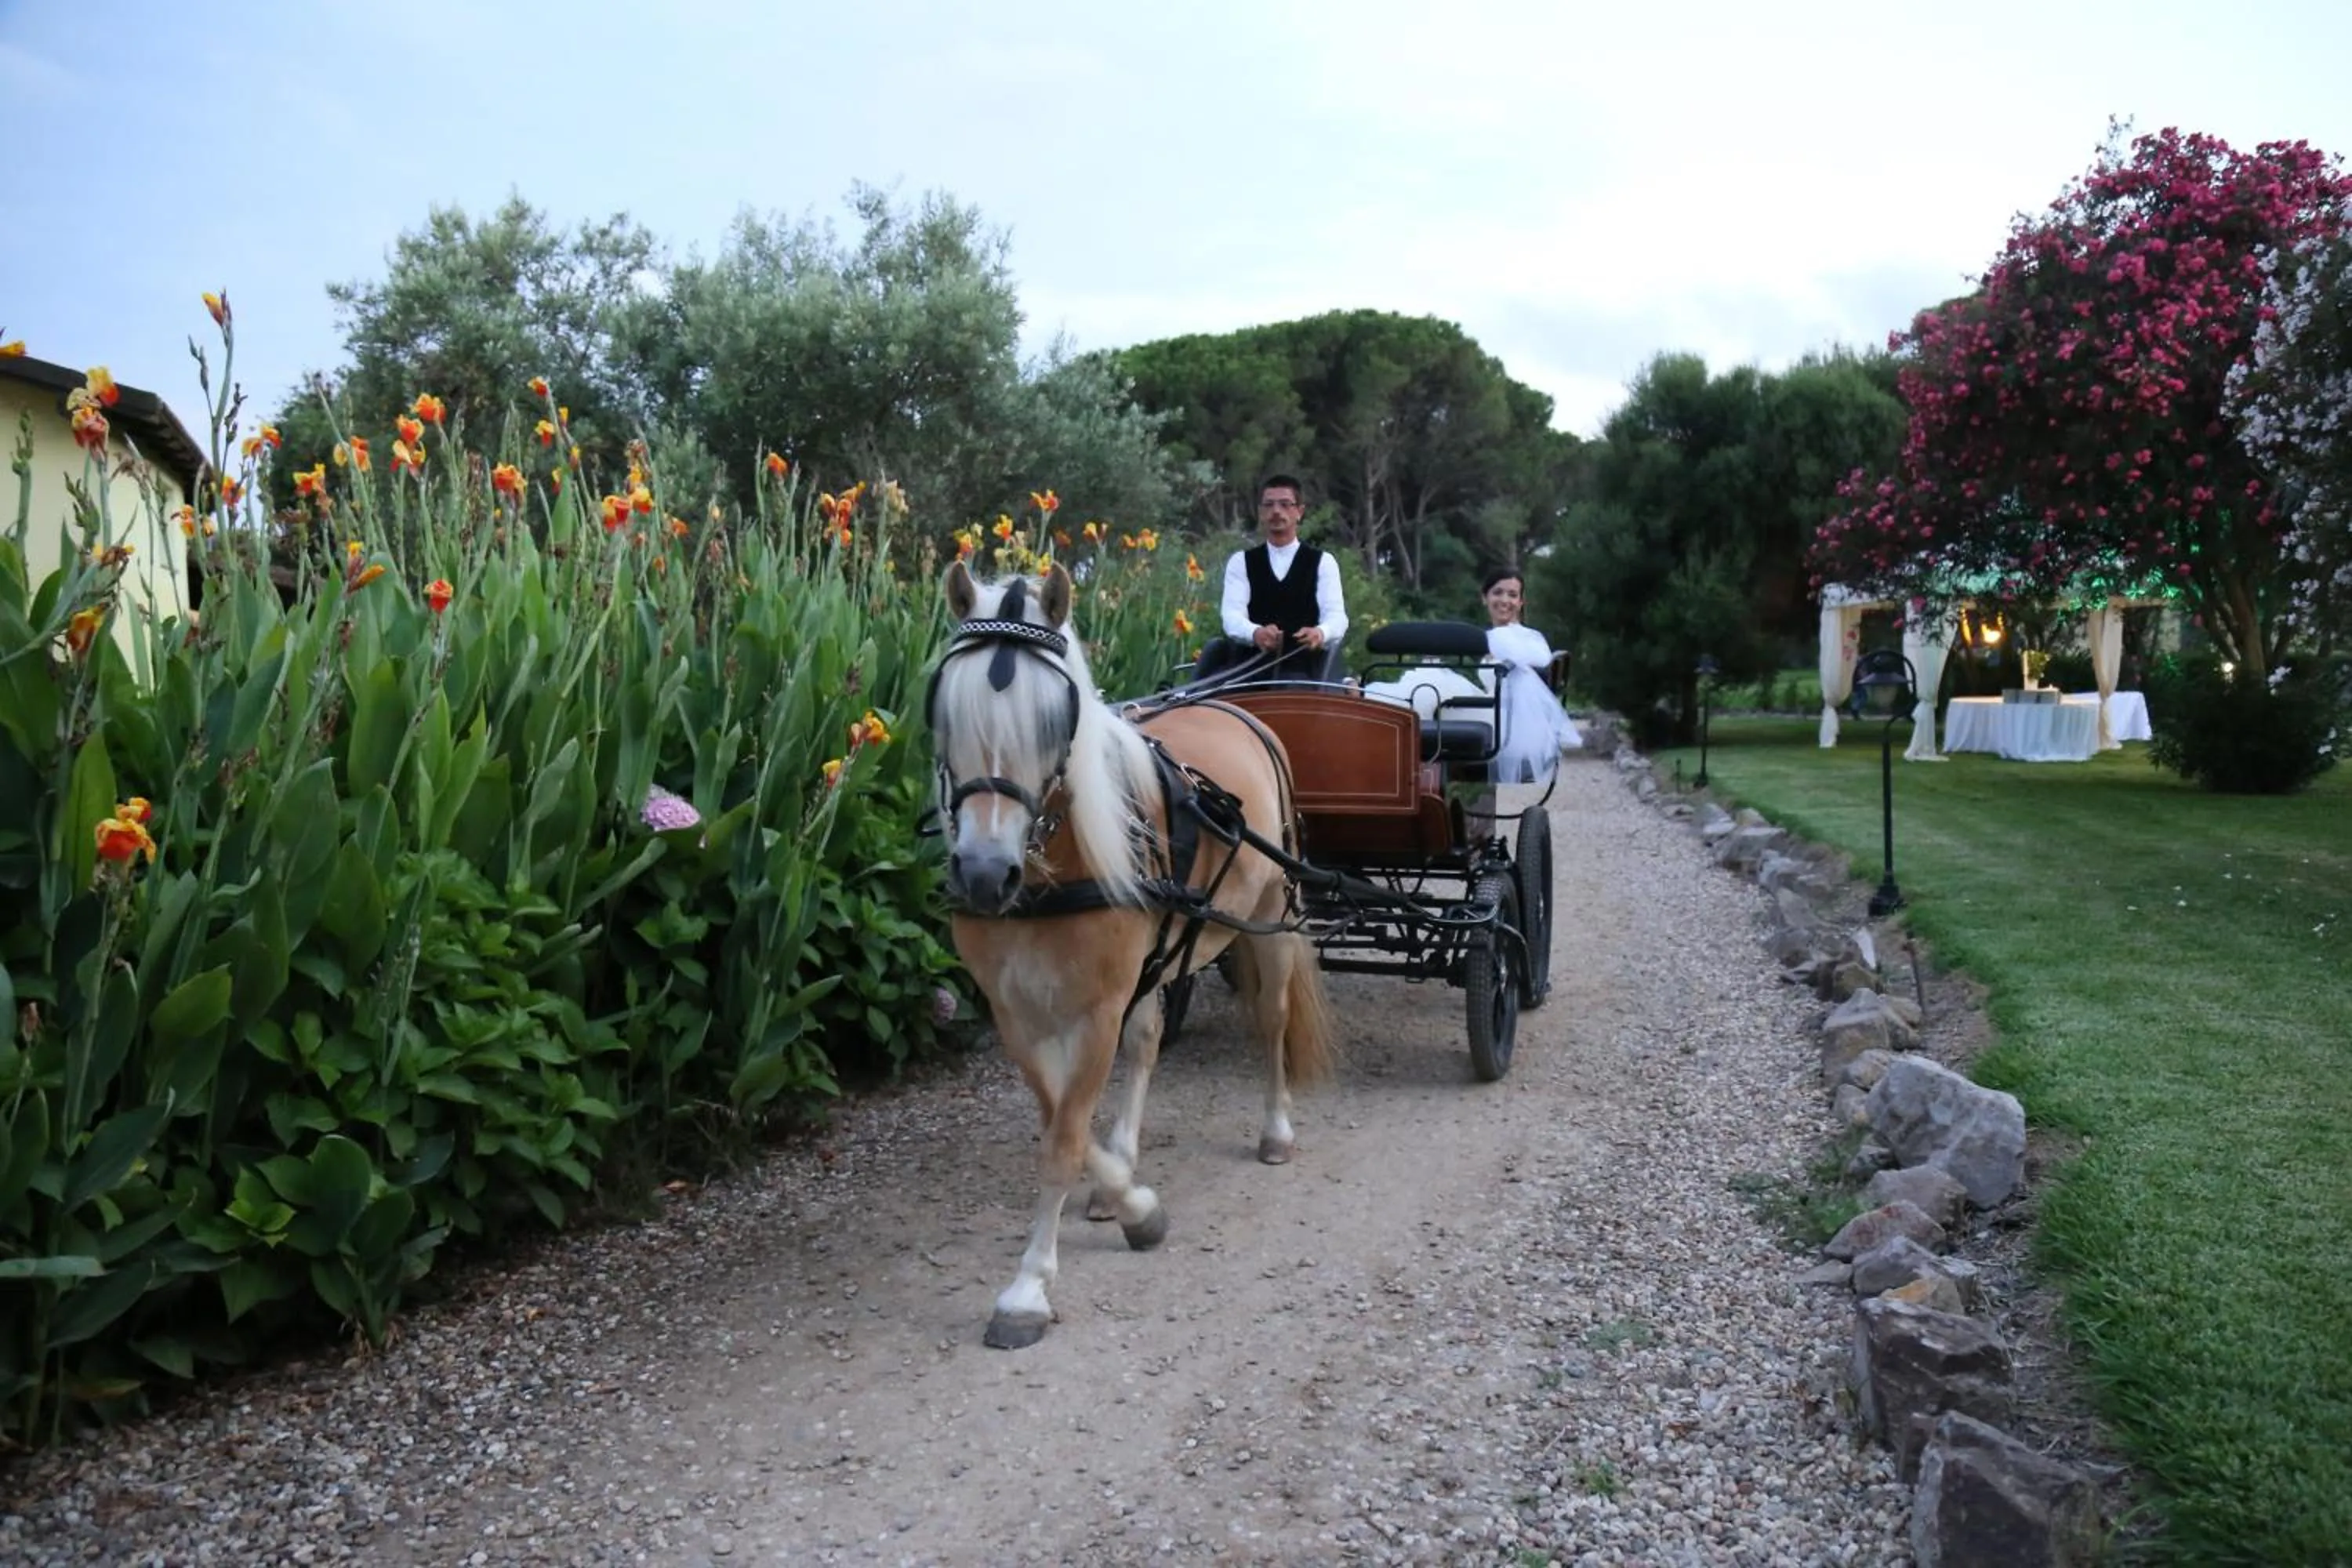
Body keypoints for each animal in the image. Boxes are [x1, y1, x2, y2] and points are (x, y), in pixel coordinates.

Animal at [925, 558, 1338, 1350]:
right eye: (946, 711)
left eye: (1055, 718)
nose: (986, 874)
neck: (1053, 861)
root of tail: (1241, 709)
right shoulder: (1016, 1011)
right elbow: (1063, 1116)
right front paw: (1128, 1194)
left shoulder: (1097, 1007)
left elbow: (1062, 1136)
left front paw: (1028, 1290)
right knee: (1146, 1043)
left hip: (1269, 918)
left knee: (1270, 1022)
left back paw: (1275, 1129)